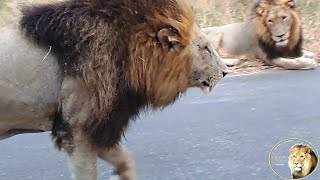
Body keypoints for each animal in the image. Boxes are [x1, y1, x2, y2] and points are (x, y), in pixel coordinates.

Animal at [0, 0, 228, 179]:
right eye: (206, 48)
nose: (226, 71)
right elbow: (87, 174)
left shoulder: (103, 127)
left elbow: (126, 161)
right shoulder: (77, 130)